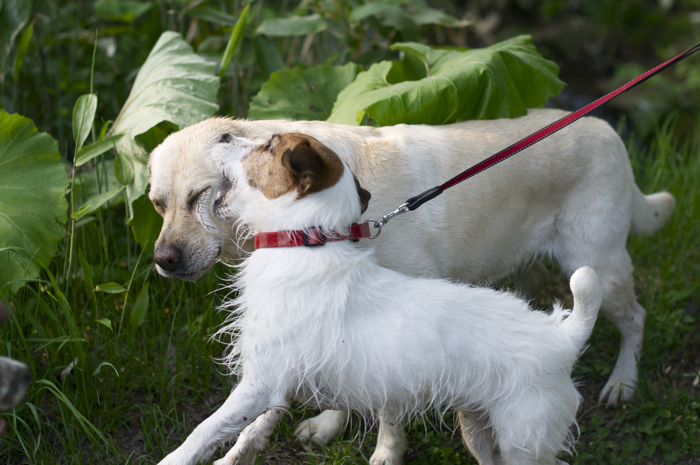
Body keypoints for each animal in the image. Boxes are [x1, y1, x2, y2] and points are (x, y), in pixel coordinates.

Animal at [149, 109, 680, 456]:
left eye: (199, 196)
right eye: (157, 203)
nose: (162, 260)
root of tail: (603, 125)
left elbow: (388, 407)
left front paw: (385, 452)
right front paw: (320, 425)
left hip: (598, 262)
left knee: (635, 317)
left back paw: (622, 383)